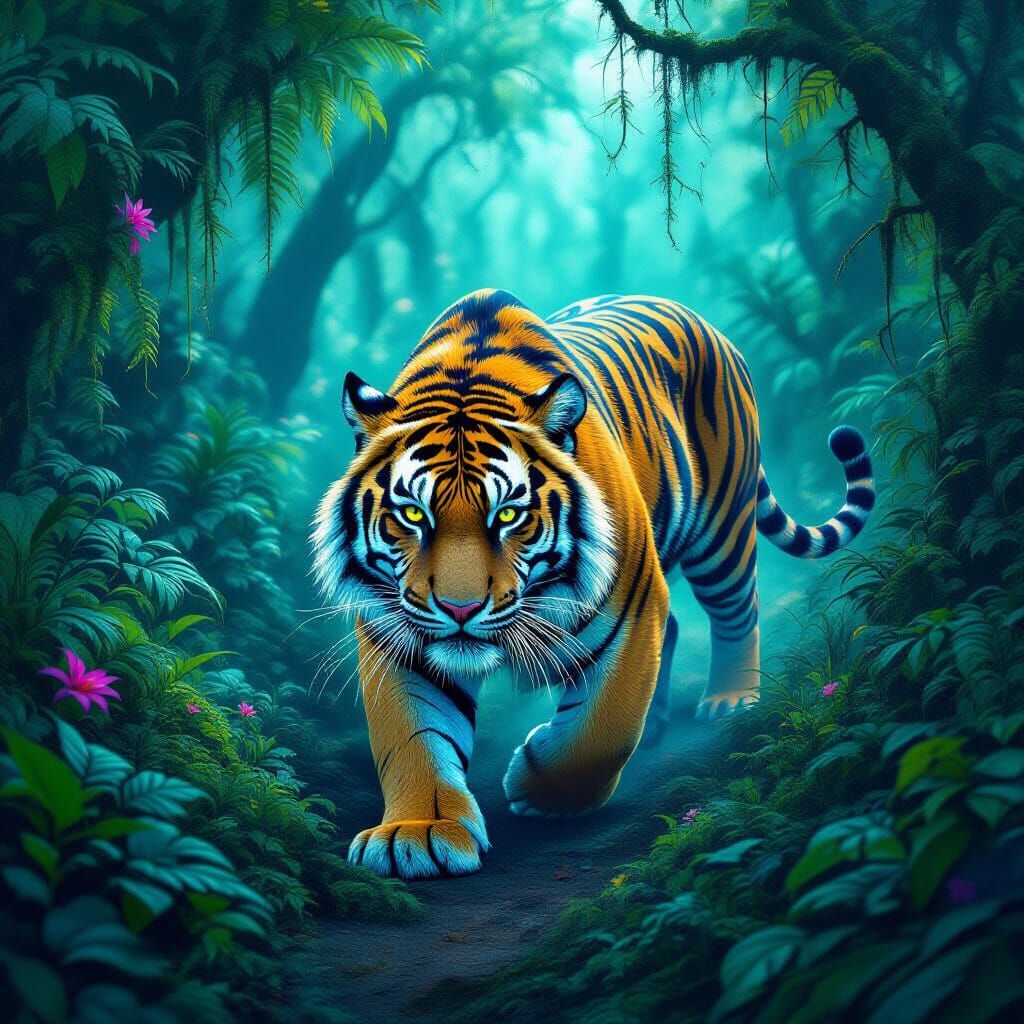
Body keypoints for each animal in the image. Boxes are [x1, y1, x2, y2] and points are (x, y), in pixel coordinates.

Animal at [312, 289, 874, 880]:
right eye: (413, 514)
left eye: (508, 514)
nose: (460, 609)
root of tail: (705, 323)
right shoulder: (397, 636)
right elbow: (413, 737)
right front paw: (419, 833)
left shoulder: (633, 605)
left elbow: (601, 729)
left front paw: (542, 792)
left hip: (723, 528)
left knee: (737, 611)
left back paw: (731, 699)